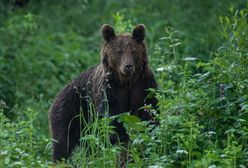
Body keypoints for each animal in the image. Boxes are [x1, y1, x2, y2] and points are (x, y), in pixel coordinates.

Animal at [48, 24, 157, 162]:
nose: (128, 66)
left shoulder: (143, 87)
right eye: (118, 51)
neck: (126, 82)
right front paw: (121, 142)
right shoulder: (110, 91)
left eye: (133, 51)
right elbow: (111, 119)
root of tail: (58, 94)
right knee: (62, 143)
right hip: (71, 111)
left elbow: (149, 113)